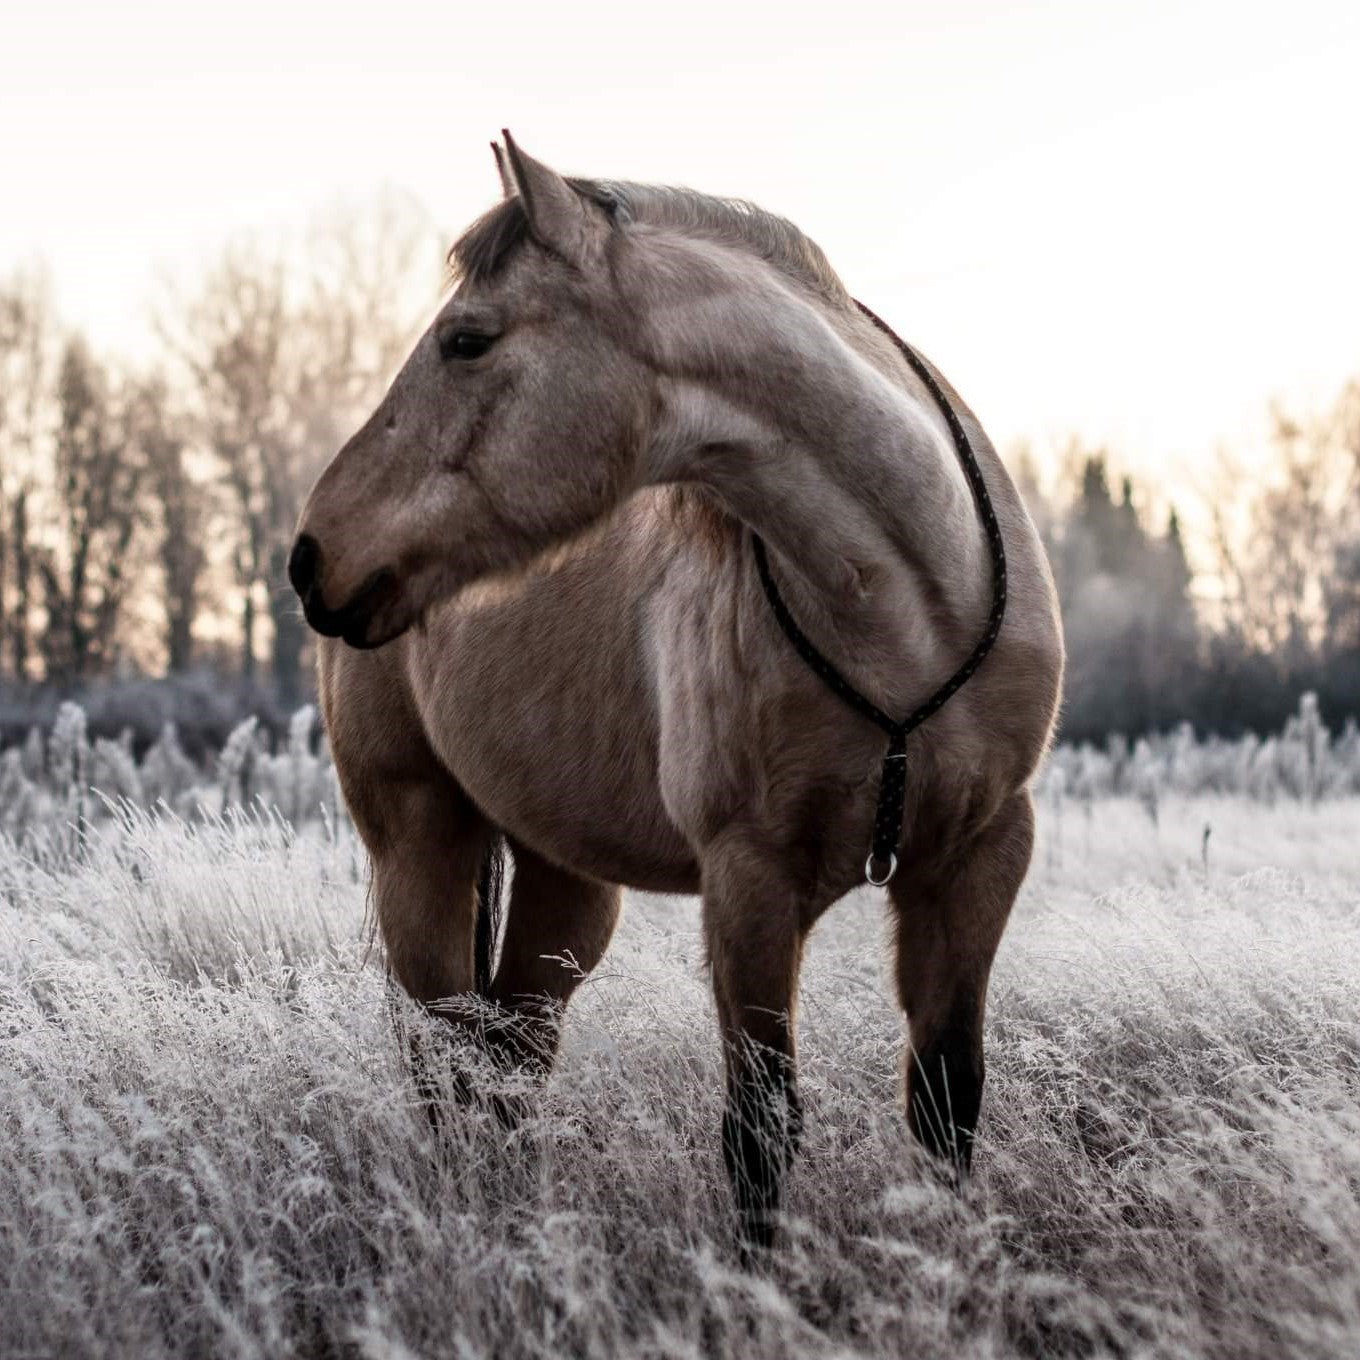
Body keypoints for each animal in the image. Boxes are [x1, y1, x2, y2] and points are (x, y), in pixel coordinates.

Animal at [289, 133, 1064, 1247]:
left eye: (468, 341)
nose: (314, 554)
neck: (911, 599)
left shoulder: (979, 858)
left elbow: (945, 1101)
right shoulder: (750, 884)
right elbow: (760, 1126)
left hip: (564, 877)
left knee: (511, 1056)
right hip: (418, 843)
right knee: (446, 1064)